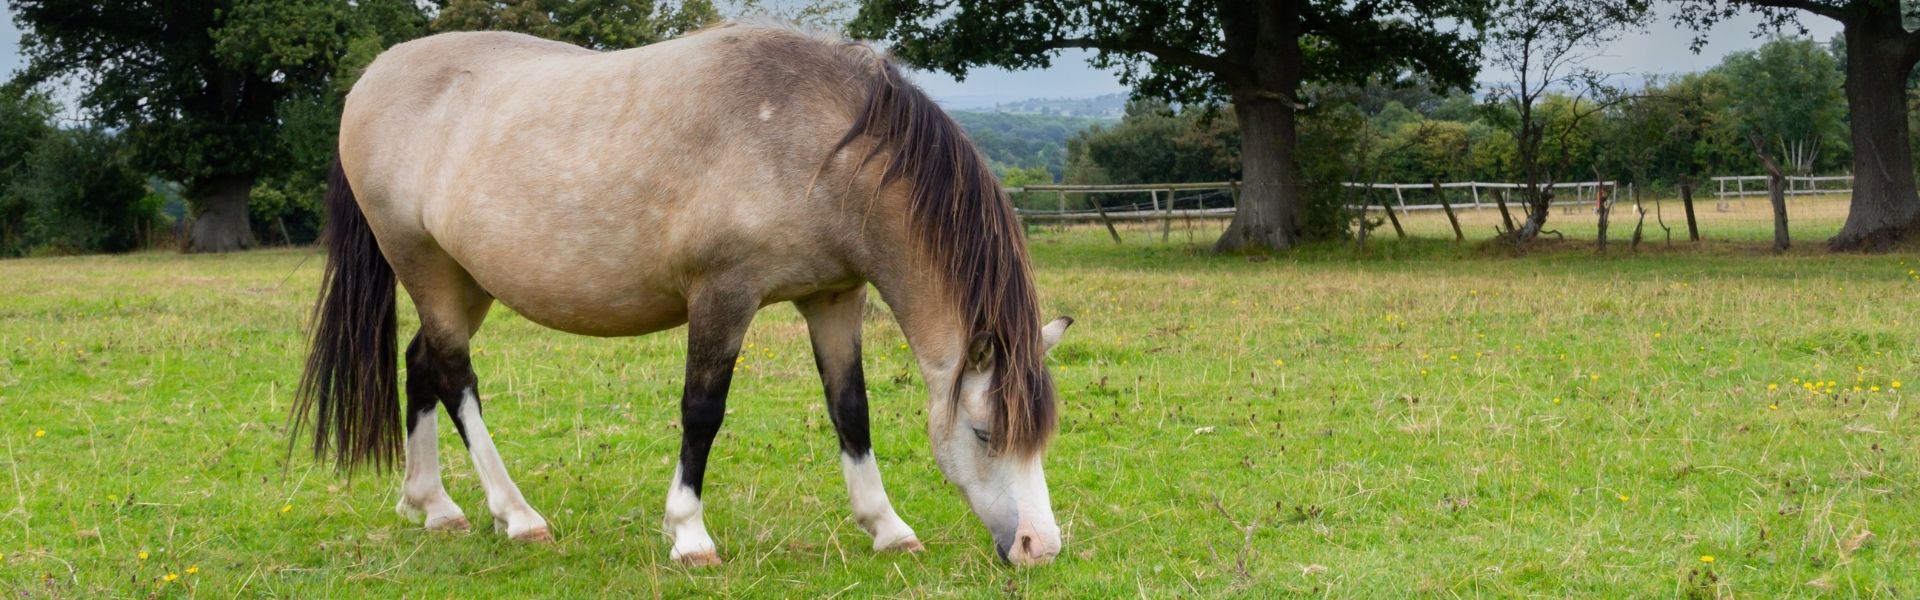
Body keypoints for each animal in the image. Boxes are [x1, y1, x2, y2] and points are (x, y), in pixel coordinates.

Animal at [294, 22, 1073, 567]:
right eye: (984, 432)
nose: (1039, 547)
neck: (819, 144)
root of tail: (373, 78)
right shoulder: (722, 296)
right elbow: (702, 413)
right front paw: (689, 535)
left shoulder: (833, 297)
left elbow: (850, 410)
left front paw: (888, 528)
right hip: (423, 265)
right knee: (456, 377)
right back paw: (517, 516)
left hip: (466, 282)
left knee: (422, 363)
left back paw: (433, 506)